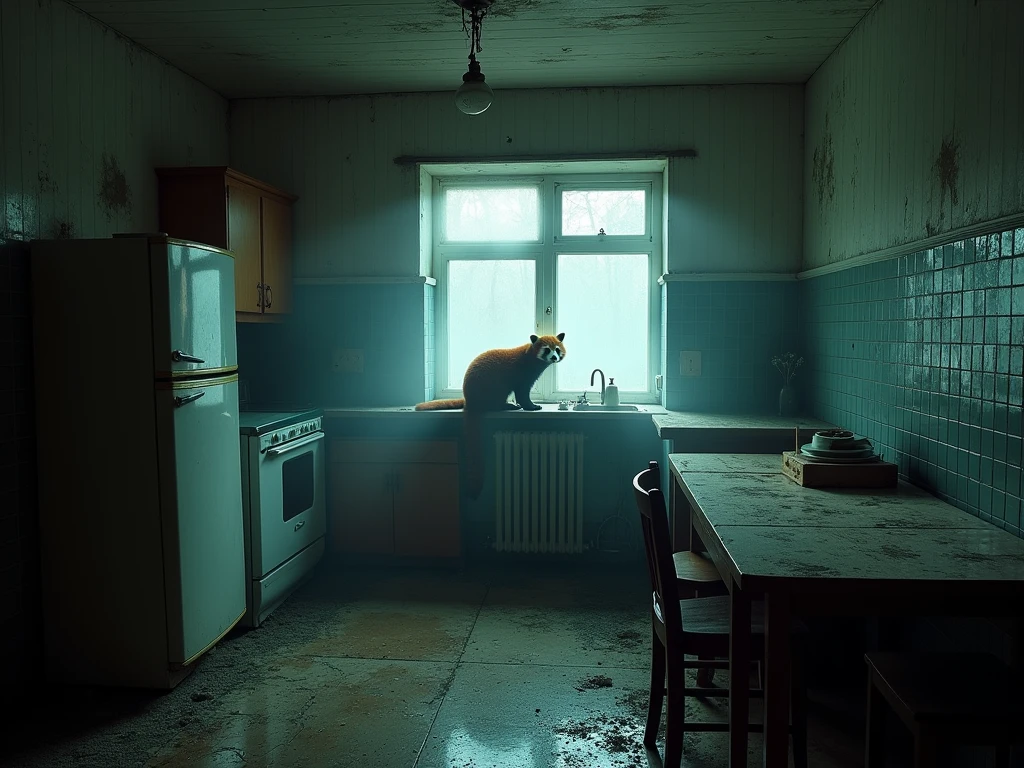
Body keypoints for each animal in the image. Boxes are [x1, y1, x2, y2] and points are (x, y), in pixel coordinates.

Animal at [413, 333, 565, 501]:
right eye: (547, 350)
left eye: (557, 349)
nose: (554, 357)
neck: (531, 358)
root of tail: (469, 400)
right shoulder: (521, 374)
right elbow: (522, 393)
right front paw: (531, 406)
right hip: (491, 385)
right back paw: (507, 406)